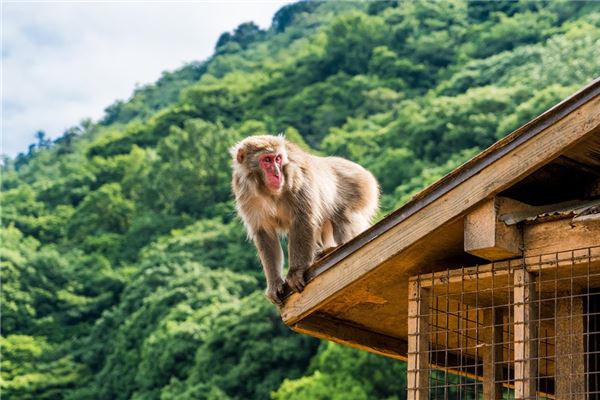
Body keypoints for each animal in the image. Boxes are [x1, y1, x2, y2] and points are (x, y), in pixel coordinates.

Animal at [231, 134, 380, 306]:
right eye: (267, 160)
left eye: (278, 159)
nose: (277, 174)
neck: (267, 191)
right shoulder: (246, 194)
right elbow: (264, 234)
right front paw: (274, 283)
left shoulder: (297, 179)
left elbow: (302, 220)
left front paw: (296, 272)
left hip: (361, 189)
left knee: (344, 218)